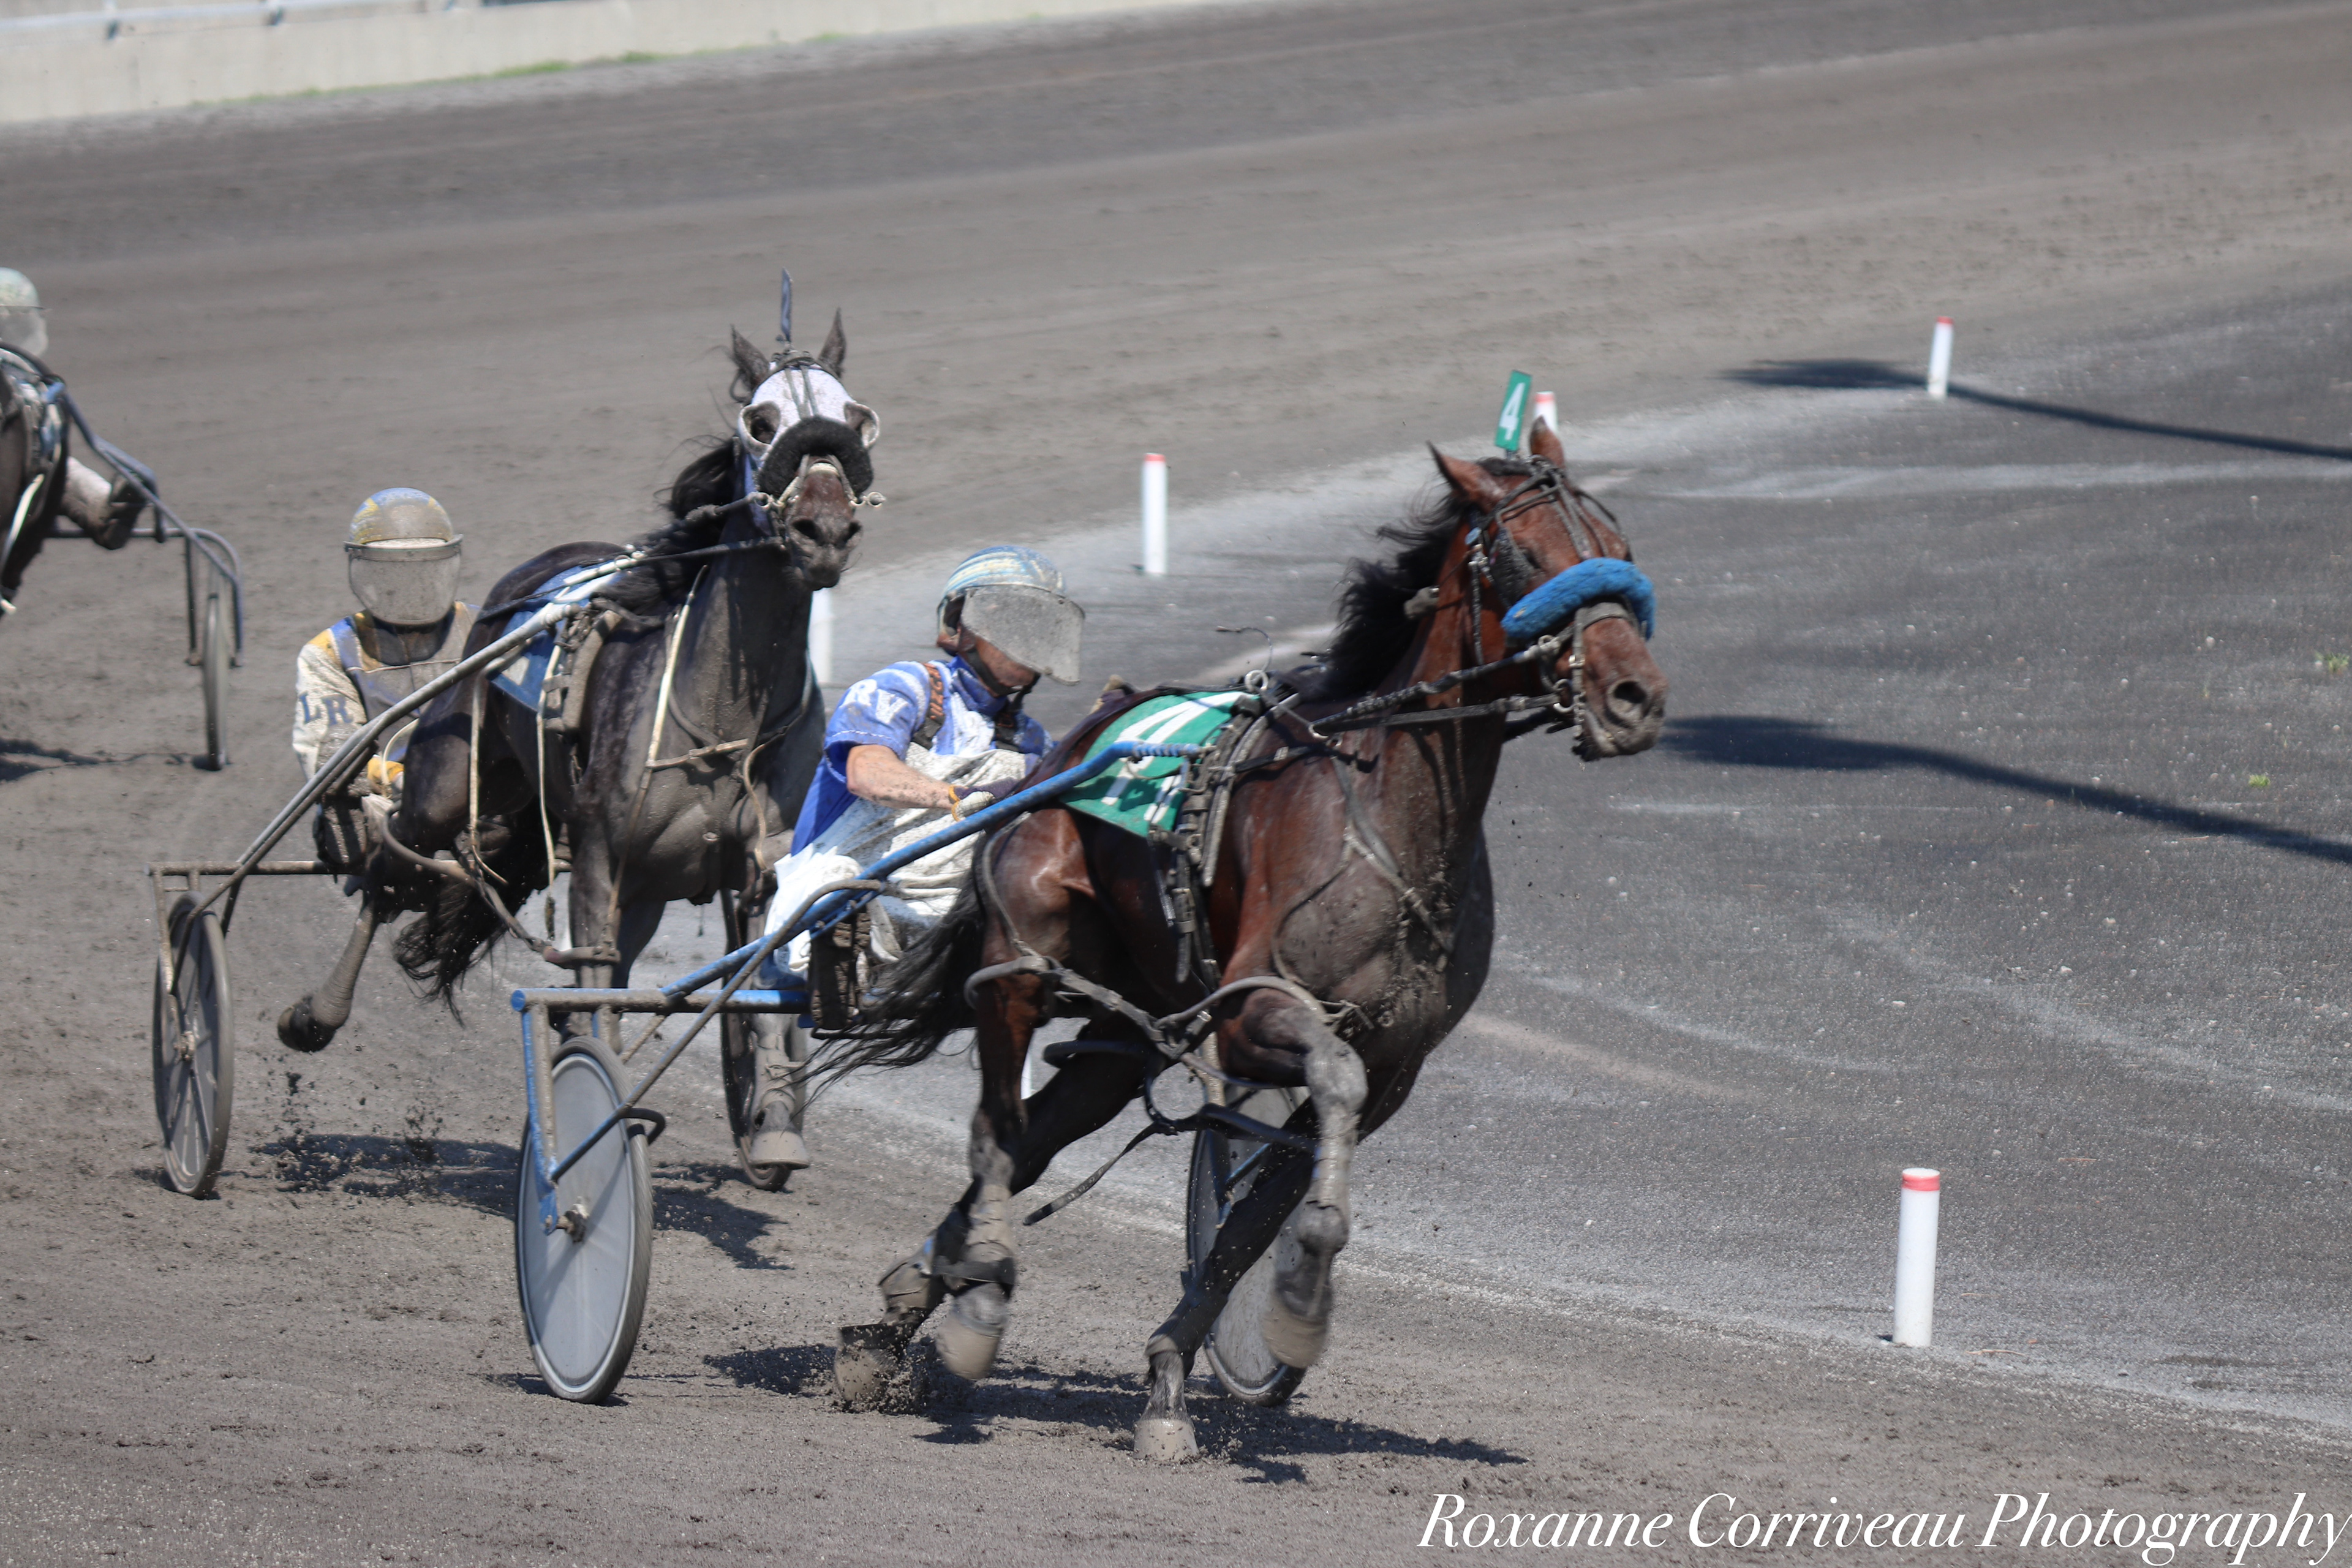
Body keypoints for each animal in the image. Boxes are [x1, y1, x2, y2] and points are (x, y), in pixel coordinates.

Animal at [276, 318, 873, 1180]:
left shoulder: (759, 863)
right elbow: (595, 989)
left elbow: (755, 980)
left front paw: (772, 1122)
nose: (822, 530)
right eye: (761, 423)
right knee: (389, 873)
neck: (722, 714)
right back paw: (315, 1013)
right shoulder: (596, 858)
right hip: (444, 786)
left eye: (856, 418)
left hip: (643, 887)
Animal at [822, 419, 1668, 1456]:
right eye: (1527, 556)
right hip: (1021, 966)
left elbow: (1253, 1219)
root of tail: (1069, 751)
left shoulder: (1396, 1064)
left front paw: (1172, 1381)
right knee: (997, 1132)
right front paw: (1301, 1295)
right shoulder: (1258, 1014)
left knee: (1037, 1139)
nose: (1633, 696)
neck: (1386, 814)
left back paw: (905, 1309)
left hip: (1124, 1020)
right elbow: (1314, 1111)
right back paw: (978, 1298)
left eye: (1619, 550)